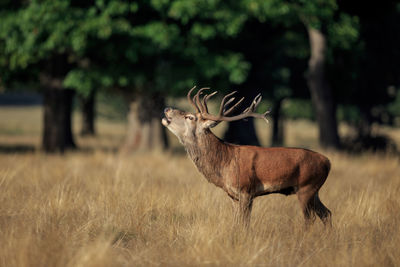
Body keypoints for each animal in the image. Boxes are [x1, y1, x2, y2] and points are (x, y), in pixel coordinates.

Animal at [161, 86, 332, 228]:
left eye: (190, 117)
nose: (167, 109)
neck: (224, 163)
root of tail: (328, 162)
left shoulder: (246, 190)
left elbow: (244, 224)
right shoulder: (233, 196)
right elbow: (237, 223)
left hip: (306, 187)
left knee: (310, 219)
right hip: (314, 191)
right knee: (327, 213)